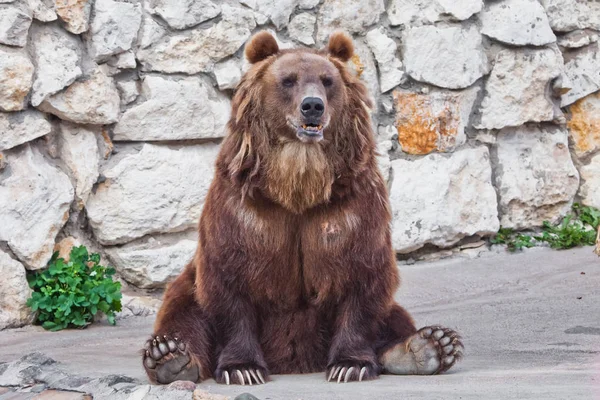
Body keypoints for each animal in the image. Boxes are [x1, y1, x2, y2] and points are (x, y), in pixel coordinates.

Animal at [142, 29, 464, 386]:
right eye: (288, 80)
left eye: (327, 80)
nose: (312, 106)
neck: (297, 184)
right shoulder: (243, 210)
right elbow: (231, 284)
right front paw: (243, 368)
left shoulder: (350, 207)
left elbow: (360, 277)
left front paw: (349, 364)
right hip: (189, 284)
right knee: (183, 310)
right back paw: (171, 356)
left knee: (393, 315)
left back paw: (426, 347)